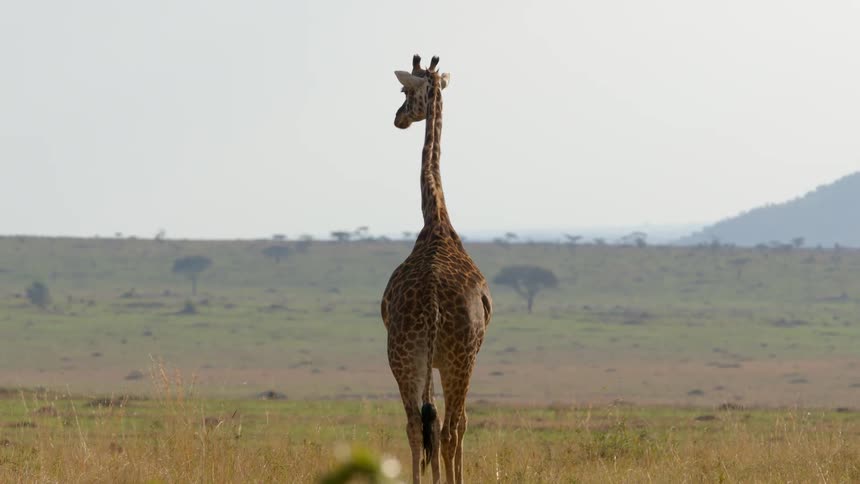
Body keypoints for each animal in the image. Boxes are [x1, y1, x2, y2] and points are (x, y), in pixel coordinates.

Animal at [381, 54, 492, 484]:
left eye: (404, 90)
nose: (398, 118)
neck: (437, 220)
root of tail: (432, 307)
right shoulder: (458, 358)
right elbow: (457, 425)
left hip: (405, 356)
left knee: (418, 424)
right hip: (457, 358)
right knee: (448, 427)